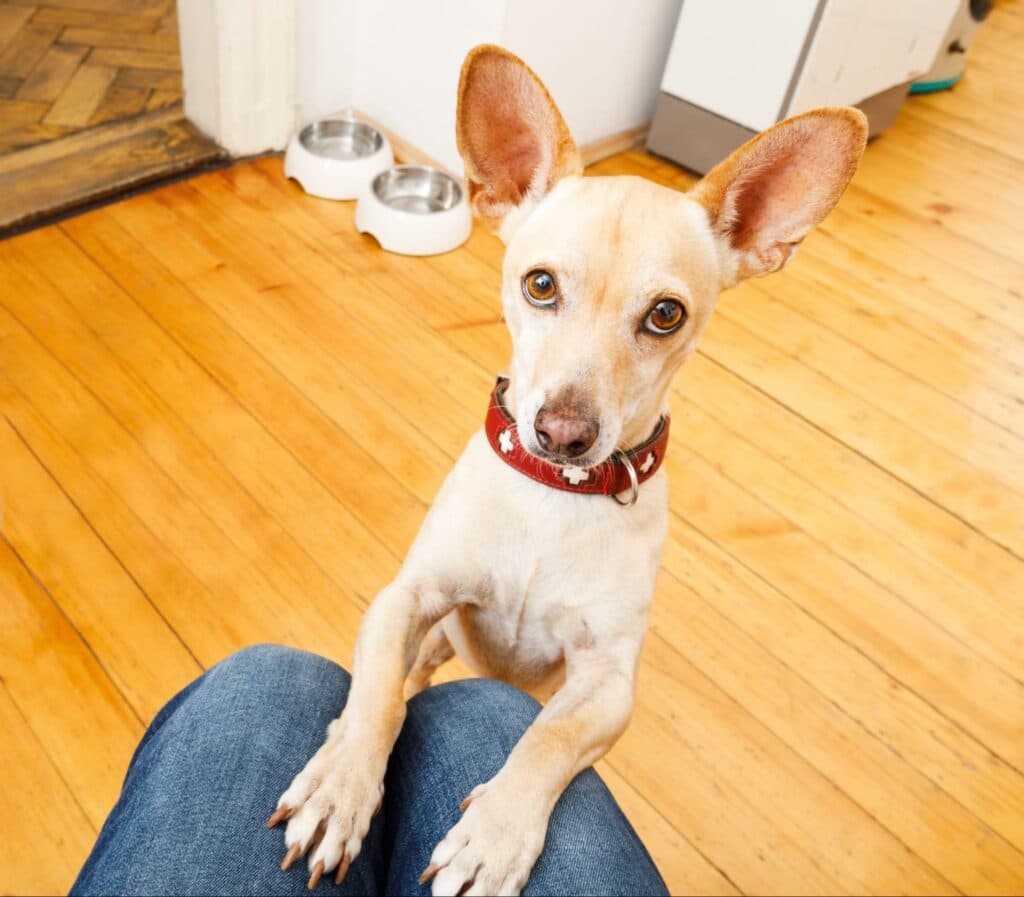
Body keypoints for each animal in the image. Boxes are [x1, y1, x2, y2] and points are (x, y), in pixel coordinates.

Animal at [268, 43, 868, 897]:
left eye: (665, 314)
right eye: (540, 284)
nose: (562, 432)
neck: (555, 499)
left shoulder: (607, 681)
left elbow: (546, 741)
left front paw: (493, 835)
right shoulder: (407, 598)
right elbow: (381, 692)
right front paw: (341, 785)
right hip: (439, 631)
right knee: (410, 678)